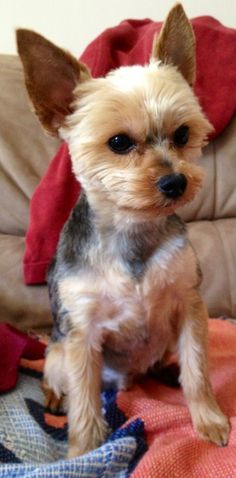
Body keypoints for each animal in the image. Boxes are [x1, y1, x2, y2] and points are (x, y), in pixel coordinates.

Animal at [17, 3, 230, 458]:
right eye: (118, 142)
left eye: (182, 134)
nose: (176, 182)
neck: (132, 230)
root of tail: (127, 382)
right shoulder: (82, 336)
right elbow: (84, 406)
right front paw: (82, 454)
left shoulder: (189, 305)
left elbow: (198, 370)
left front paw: (208, 419)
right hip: (58, 352)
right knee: (55, 376)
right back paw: (53, 398)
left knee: (172, 363)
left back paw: (166, 373)